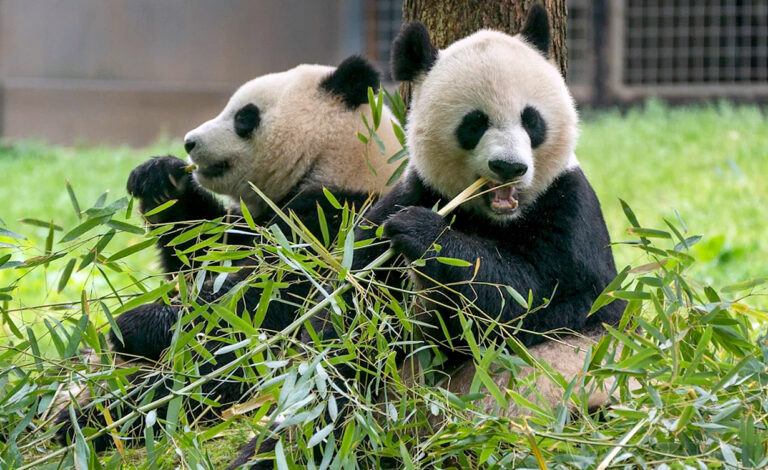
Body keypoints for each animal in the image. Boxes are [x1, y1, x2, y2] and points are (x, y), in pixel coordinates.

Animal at [54, 55, 402, 451]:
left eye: (244, 117)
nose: (189, 142)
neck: (341, 161)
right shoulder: (253, 221)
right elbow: (200, 254)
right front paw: (160, 179)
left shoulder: (337, 221)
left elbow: (263, 304)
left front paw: (135, 324)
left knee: (203, 382)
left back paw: (93, 420)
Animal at [230, 5, 626, 469]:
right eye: (474, 123)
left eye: (532, 120)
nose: (509, 167)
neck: (492, 217)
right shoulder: (405, 197)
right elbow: (352, 324)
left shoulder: (570, 212)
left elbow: (536, 301)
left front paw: (424, 234)